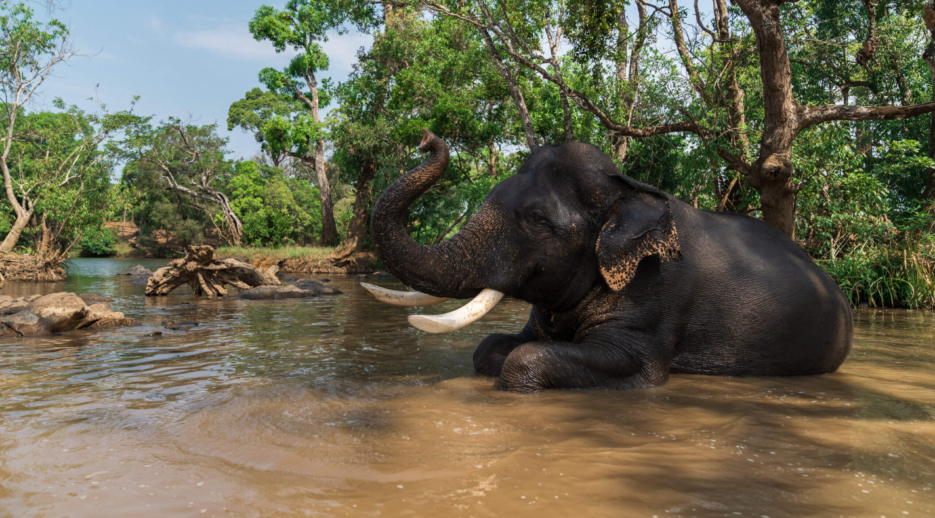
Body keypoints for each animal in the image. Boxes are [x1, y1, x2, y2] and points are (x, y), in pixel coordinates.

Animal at [363, 129, 853, 393]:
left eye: (537, 219)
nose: (425, 138)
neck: (627, 189)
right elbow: (491, 348)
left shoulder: (656, 296)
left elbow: (533, 359)